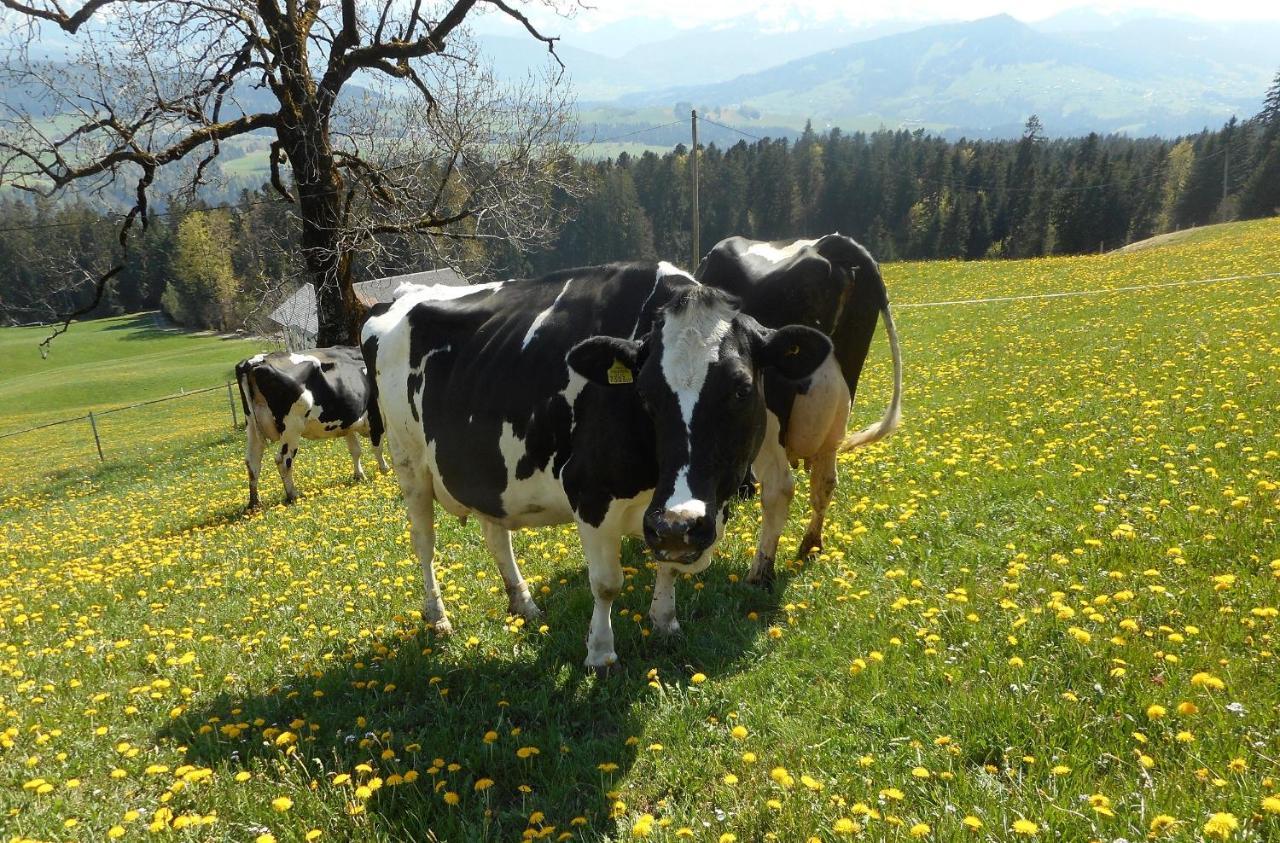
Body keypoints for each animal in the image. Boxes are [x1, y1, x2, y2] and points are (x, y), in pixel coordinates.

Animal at [232, 347, 386, 509]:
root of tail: (254, 361)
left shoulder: (347, 424)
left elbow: (355, 451)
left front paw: (359, 476)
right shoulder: (377, 416)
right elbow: (377, 447)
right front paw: (384, 470)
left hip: (252, 426)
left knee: (252, 461)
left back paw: (254, 503)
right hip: (292, 427)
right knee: (283, 460)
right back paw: (293, 495)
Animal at [360, 263, 829, 670]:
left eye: (741, 390)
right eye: (645, 392)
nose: (679, 522)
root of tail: (400, 297)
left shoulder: (664, 515)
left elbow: (668, 563)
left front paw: (665, 623)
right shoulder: (591, 493)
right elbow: (607, 583)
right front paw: (601, 654)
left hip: (488, 474)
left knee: (496, 535)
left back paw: (524, 603)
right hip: (408, 462)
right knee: (424, 542)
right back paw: (438, 616)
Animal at [696, 230, 906, 585]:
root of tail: (832, 245)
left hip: (771, 416)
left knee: (780, 488)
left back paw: (760, 571)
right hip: (838, 410)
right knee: (826, 481)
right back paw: (810, 545)